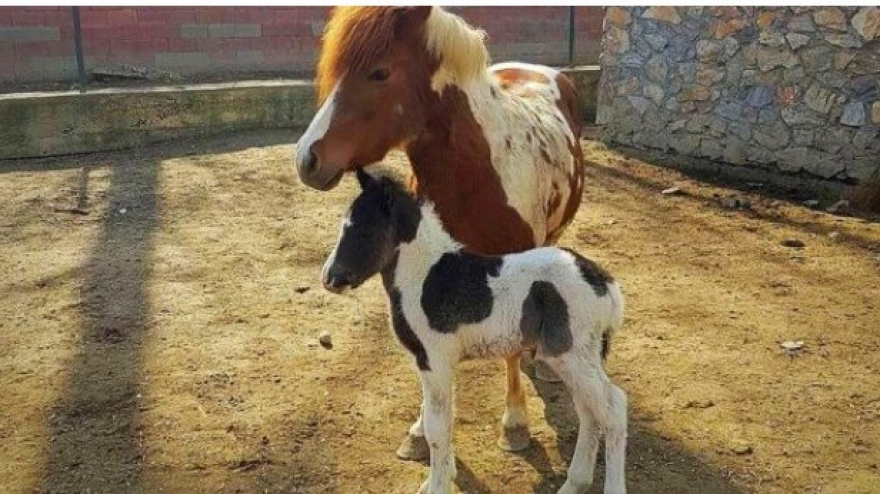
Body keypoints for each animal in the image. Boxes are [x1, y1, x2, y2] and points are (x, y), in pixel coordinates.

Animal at [292, 4, 588, 460]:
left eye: (379, 72)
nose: (307, 159)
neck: (476, 175)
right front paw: (418, 431)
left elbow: (510, 354)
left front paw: (515, 424)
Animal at [322, 171, 624, 494]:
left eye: (364, 230)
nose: (330, 279)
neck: (424, 275)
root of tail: (604, 282)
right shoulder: (433, 364)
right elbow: (440, 419)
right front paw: (441, 476)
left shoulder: (434, 360)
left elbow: (437, 427)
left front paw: (437, 486)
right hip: (575, 359)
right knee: (589, 411)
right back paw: (574, 484)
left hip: (573, 356)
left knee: (614, 409)